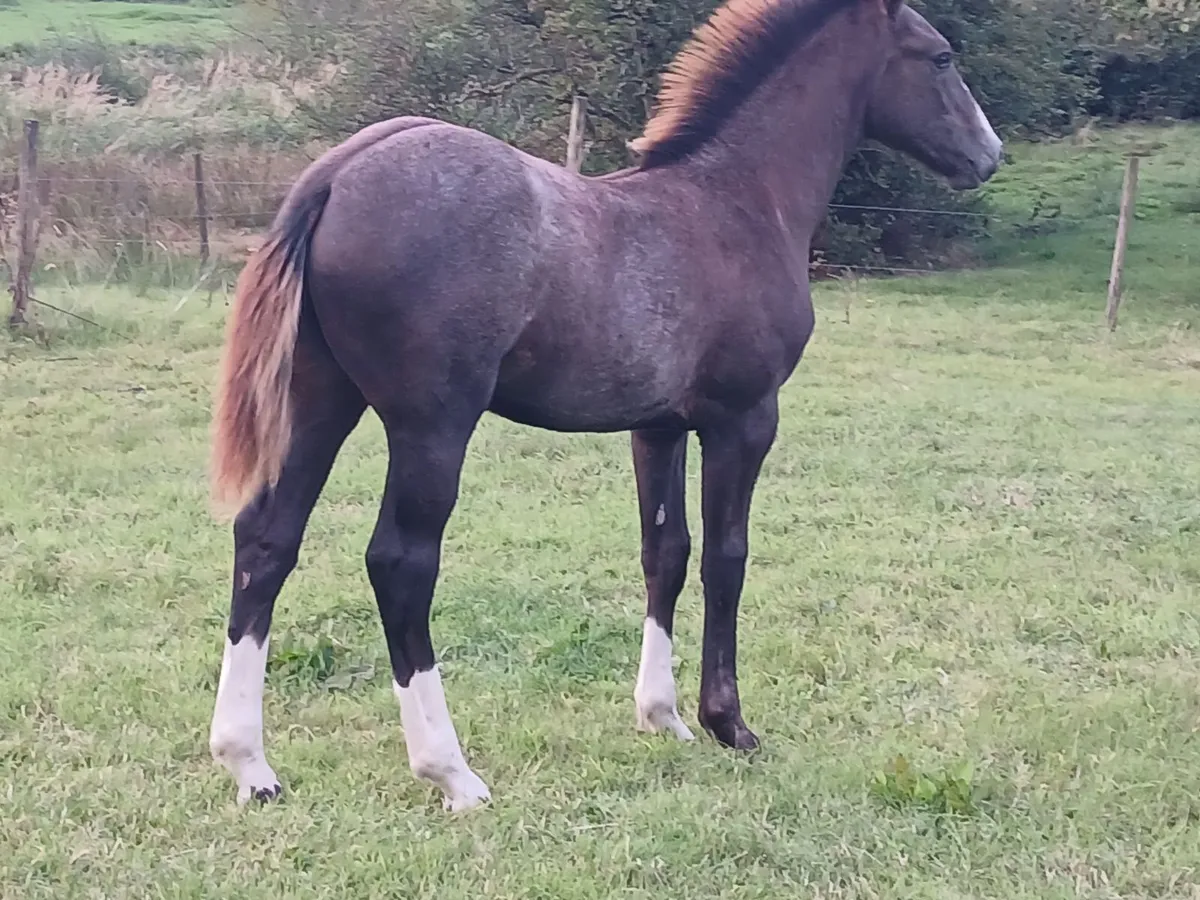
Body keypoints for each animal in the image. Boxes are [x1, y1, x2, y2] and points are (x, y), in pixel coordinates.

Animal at [206, 0, 1002, 812]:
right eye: (940, 57)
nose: (988, 155)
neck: (738, 200)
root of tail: (337, 173)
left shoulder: (658, 427)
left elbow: (666, 553)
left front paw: (663, 716)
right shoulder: (744, 418)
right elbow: (727, 556)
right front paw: (728, 722)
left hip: (318, 400)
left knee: (267, 540)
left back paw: (250, 765)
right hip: (431, 422)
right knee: (400, 562)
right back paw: (450, 771)